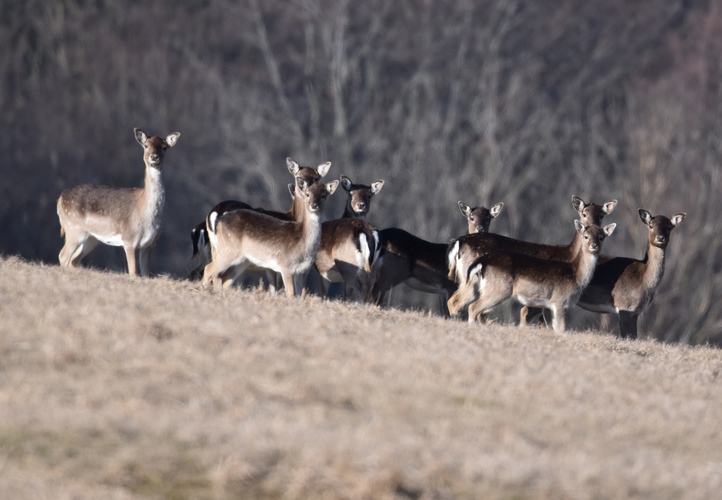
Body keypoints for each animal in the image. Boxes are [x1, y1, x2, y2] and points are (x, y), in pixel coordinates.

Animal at [56, 128, 180, 278]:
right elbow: (133, 272)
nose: (154, 157)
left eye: (164, 147)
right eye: (146, 145)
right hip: (73, 229)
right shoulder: (129, 239)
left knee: (73, 260)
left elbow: (146, 273)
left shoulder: (150, 244)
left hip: (92, 238)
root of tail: (59, 199)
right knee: (63, 255)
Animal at [201, 178, 338, 298]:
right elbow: (290, 294)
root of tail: (219, 220)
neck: (302, 244)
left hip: (241, 259)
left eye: (324, 195)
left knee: (224, 279)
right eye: (307, 194)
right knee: (209, 269)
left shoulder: (303, 271)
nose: (314, 205)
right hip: (229, 250)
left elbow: (300, 296)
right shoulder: (285, 266)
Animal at [572, 207, 688, 340]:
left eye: (669, 227)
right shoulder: (624, 306)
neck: (643, 281)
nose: (660, 238)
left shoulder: (635, 312)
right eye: (651, 225)